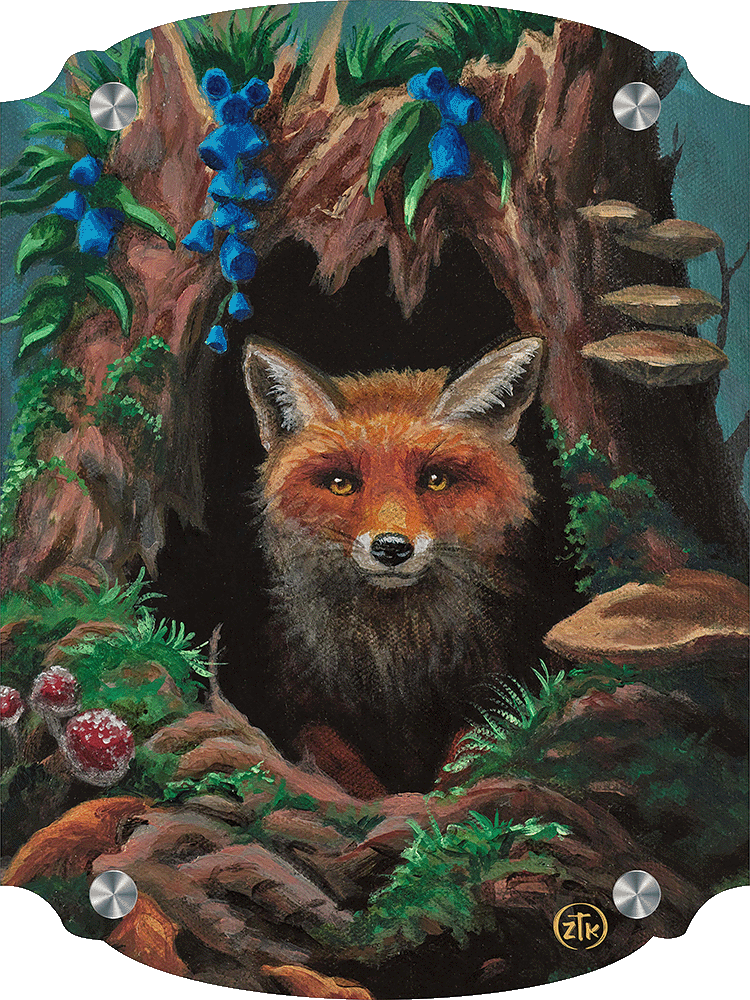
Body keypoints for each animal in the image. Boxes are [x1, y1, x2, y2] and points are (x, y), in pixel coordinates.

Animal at [242, 335, 545, 794]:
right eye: (341, 483)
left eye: (435, 480)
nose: (391, 548)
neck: (396, 651)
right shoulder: (305, 711)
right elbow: (347, 773)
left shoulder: (489, 694)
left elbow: (462, 762)